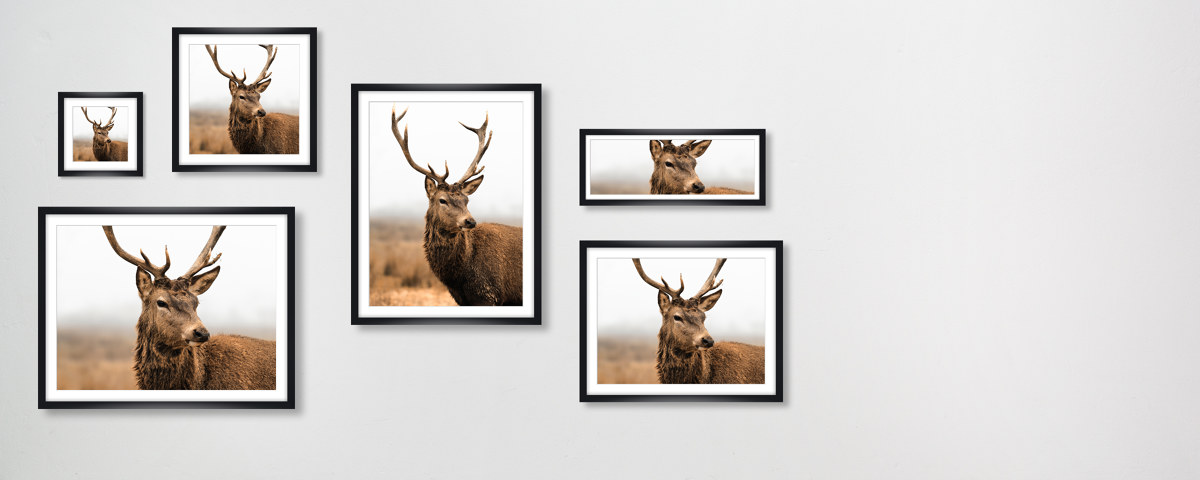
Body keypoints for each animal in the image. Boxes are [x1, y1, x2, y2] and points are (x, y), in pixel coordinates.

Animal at [390, 105, 523, 306]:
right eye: (442, 200)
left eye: (466, 200)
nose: (470, 221)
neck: (459, 278)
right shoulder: (464, 300)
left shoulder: (490, 295)